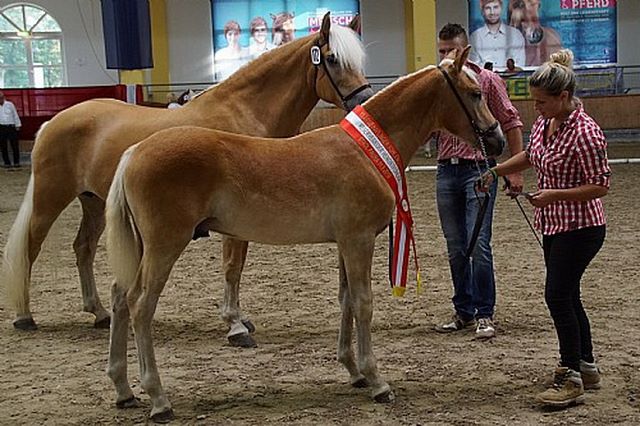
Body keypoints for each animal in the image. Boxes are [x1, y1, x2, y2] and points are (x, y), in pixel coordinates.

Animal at [2, 13, 372, 334]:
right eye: (333, 59)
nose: (364, 100)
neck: (244, 113)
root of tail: (54, 121)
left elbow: (237, 267)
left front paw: (238, 318)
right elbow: (231, 265)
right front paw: (234, 323)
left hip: (92, 201)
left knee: (83, 248)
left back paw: (99, 313)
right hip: (50, 199)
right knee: (31, 248)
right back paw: (24, 316)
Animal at [105, 47, 504, 422]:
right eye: (474, 93)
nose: (497, 140)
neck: (365, 151)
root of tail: (134, 152)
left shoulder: (346, 243)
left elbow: (346, 301)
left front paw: (354, 371)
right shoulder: (359, 240)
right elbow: (363, 303)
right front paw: (377, 381)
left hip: (142, 248)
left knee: (121, 296)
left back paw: (124, 389)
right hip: (164, 246)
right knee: (141, 306)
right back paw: (158, 398)